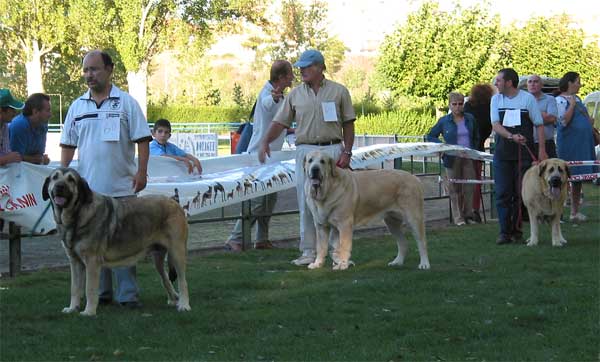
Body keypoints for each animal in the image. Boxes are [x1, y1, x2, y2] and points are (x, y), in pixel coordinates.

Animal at [42, 168, 191, 316]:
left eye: (71, 180)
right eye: (55, 178)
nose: (59, 186)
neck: (76, 215)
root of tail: (174, 202)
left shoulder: (92, 261)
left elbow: (90, 289)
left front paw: (89, 312)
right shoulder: (75, 262)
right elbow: (74, 288)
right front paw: (72, 308)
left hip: (177, 252)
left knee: (183, 281)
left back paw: (184, 305)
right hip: (158, 258)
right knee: (165, 278)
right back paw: (173, 300)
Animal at [304, 151, 432, 272]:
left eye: (322, 161)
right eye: (310, 161)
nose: (315, 169)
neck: (327, 190)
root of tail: (414, 178)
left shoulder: (344, 224)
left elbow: (344, 246)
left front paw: (343, 264)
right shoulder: (321, 226)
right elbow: (321, 247)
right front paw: (317, 264)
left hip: (414, 218)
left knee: (422, 242)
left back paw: (424, 264)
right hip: (392, 223)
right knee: (403, 243)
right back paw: (397, 262)